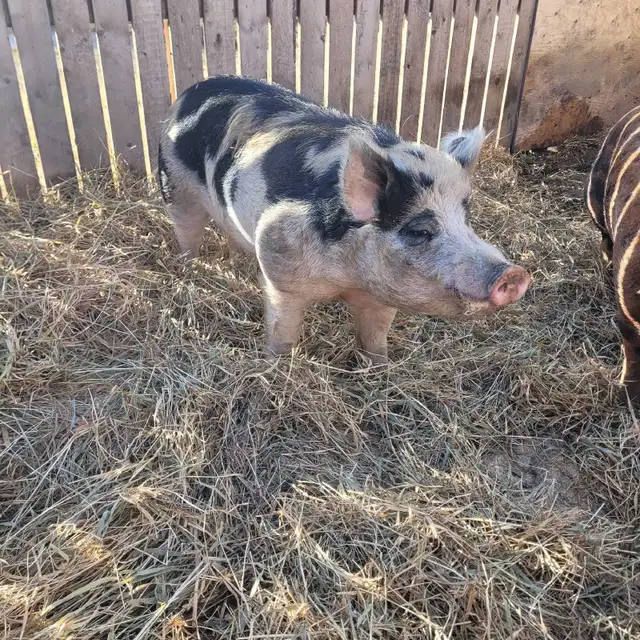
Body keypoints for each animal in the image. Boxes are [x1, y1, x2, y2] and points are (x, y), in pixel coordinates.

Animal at [158, 75, 530, 363]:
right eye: (419, 230)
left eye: (466, 217)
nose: (513, 274)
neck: (346, 277)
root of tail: (191, 91)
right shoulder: (281, 274)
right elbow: (283, 333)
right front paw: (274, 367)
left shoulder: (381, 297)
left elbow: (375, 338)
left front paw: (380, 369)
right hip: (175, 187)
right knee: (187, 233)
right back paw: (187, 271)